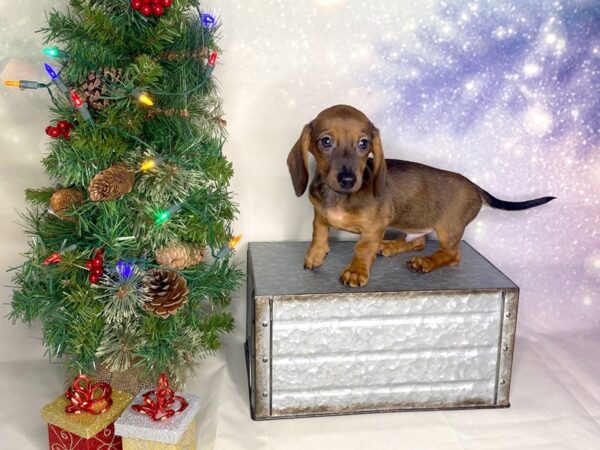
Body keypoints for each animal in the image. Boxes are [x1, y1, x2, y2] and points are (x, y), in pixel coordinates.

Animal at [288, 105, 556, 286]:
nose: (348, 180)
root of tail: (475, 186)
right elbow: (319, 232)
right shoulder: (319, 214)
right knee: (418, 241)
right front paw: (316, 254)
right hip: (415, 223)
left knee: (452, 254)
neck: (339, 196)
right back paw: (389, 246)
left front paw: (356, 271)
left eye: (363, 144)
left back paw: (424, 262)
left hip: (449, 230)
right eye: (326, 141)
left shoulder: (375, 227)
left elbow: (362, 248)